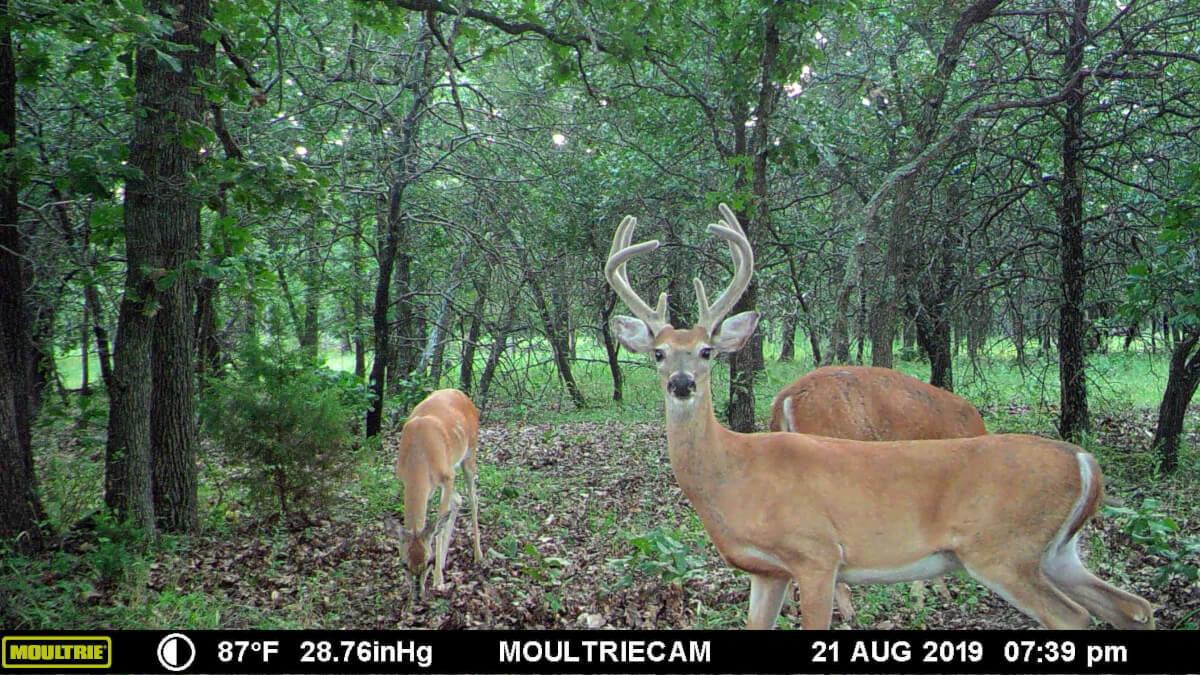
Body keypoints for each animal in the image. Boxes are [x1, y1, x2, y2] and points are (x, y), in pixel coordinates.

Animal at [382, 388, 483, 599]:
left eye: (428, 561)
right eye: (404, 563)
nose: (418, 594)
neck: (418, 457)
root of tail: (462, 394)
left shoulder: (448, 476)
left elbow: (438, 527)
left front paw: (438, 581)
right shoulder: (408, 482)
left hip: (469, 453)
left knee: (472, 497)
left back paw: (478, 555)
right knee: (458, 499)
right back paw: (445, 561)